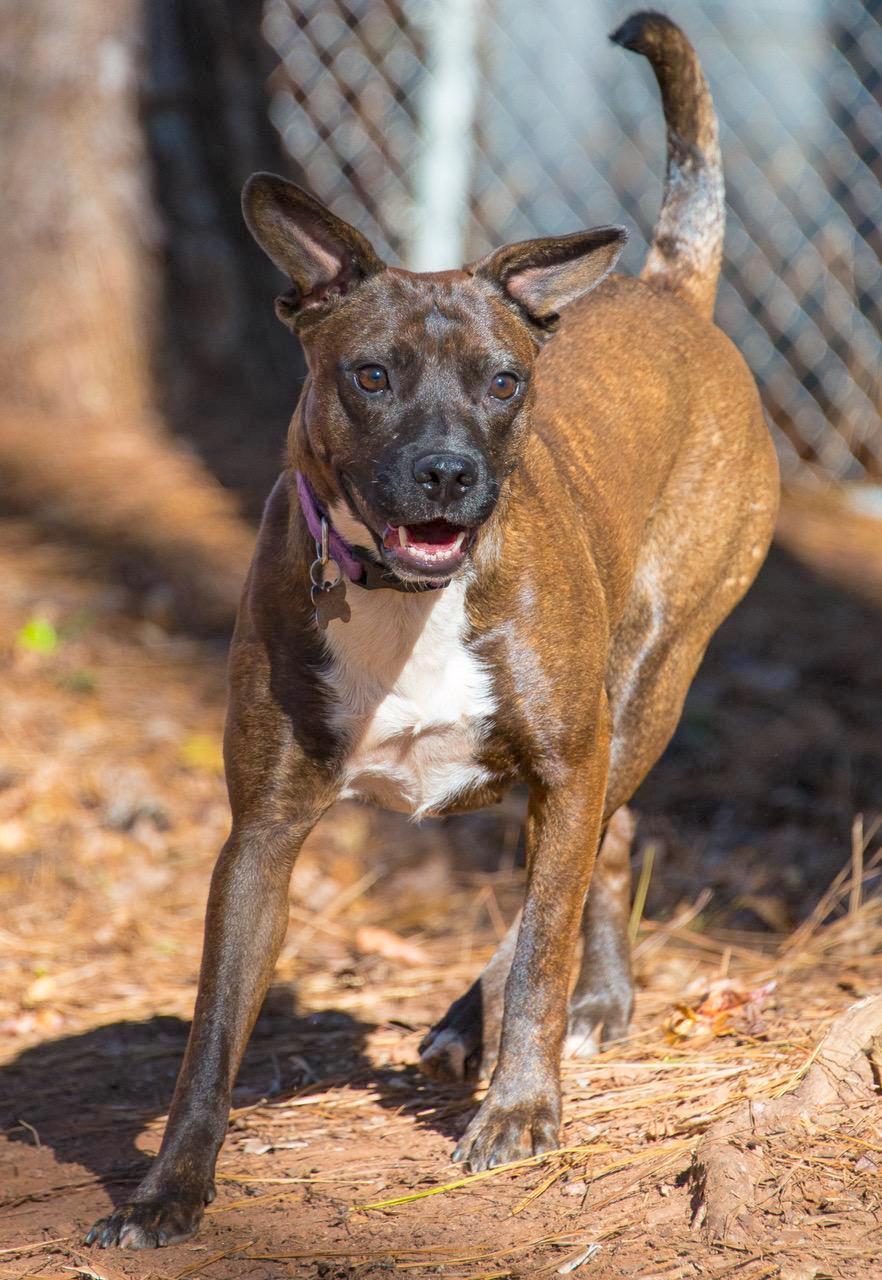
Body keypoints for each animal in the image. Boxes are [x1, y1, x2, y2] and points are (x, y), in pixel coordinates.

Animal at [89, 12, 773, 1249]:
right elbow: (210, 1037)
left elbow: (541, 943)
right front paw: (170, 1188)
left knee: (583, 866)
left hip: (641, 689)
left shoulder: (568, 758)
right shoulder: (260, 834)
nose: (450, 473)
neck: (407, 600)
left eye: (502, 383)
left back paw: (534, 1011)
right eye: (371, 374)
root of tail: (666, 289)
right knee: (597, 852)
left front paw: (522, 1109)